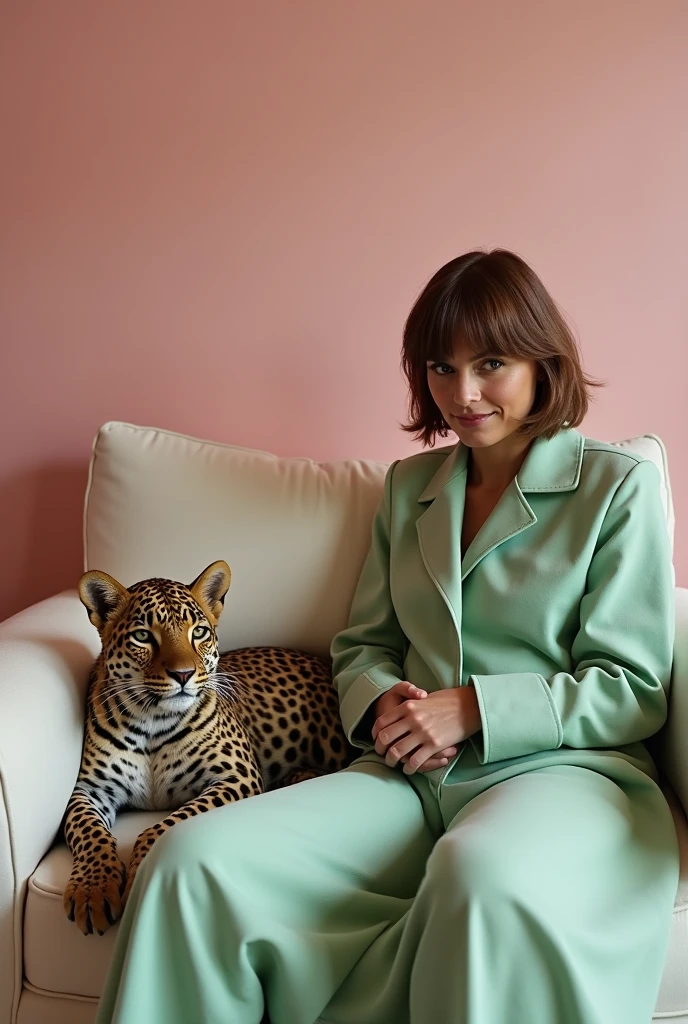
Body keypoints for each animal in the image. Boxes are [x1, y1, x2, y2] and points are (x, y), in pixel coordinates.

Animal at [63, 561, 352, 937]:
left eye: (198, 632)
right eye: (143, 636)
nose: (184, 674)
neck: (152, 721)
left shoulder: (236, 776)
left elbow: (162, 828)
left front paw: (139, 880)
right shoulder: (90, 789)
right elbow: (87, 832)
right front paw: (92, 888)